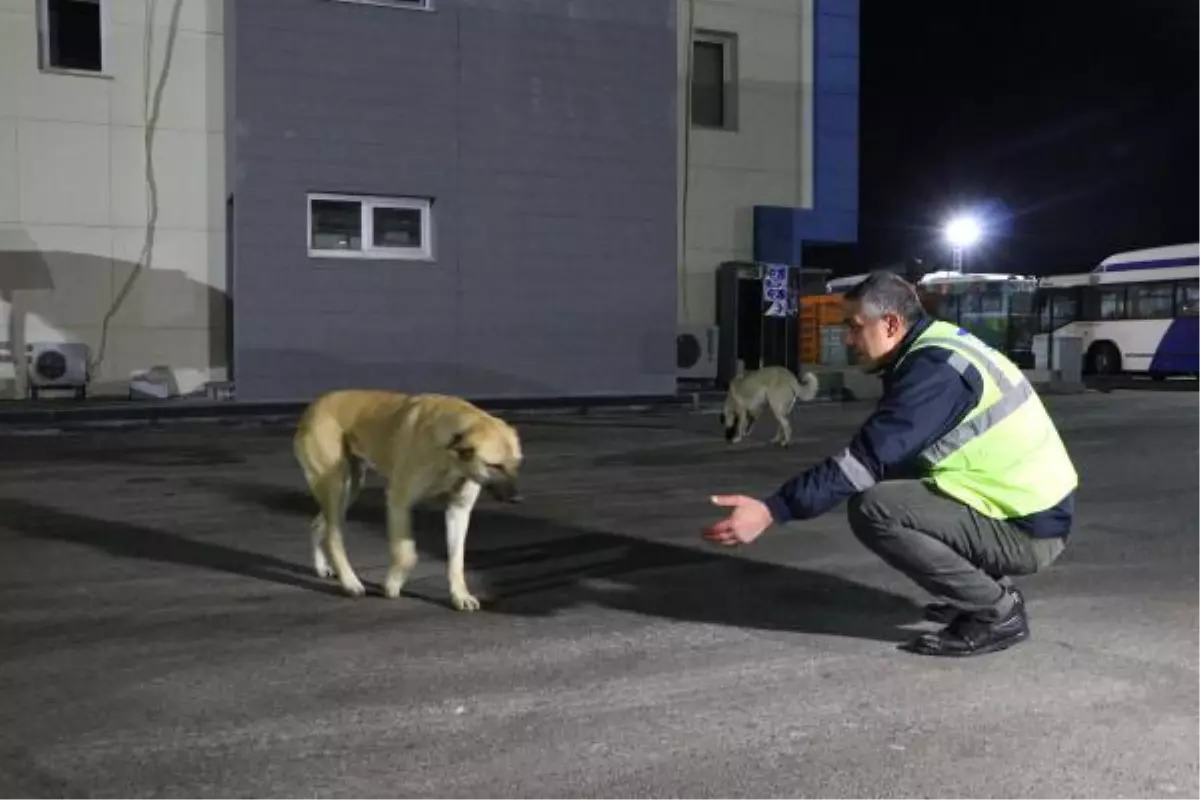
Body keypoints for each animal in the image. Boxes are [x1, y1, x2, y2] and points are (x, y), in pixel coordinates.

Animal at [292, 391, 523, 609]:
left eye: (517, 463)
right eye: (495, 465)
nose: (518, 498)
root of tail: (314, 406)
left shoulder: (459, 511)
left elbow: (457, 559)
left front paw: (460, 595)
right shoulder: (398, 501)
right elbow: (407, 554)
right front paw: (392, 584)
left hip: (350, 489)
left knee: (318, 525)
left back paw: (322, 566)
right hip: (335, 485)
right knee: (333, 537)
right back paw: (350, 582)